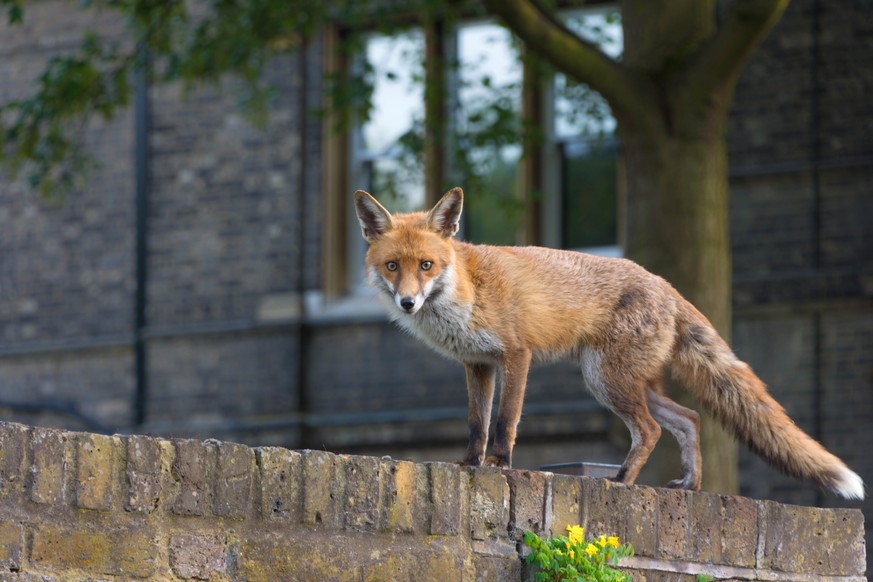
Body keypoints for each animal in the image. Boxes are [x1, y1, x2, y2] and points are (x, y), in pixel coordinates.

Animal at [350, 187, 860, 502]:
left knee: (651, 431)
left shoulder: (516, 355)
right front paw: (469, 465)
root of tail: (666, 284)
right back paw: (689, 485)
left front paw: (499, 465)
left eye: (427, 265)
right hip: (624, 381)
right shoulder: (477, 364)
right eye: (393, 266)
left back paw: (621, 481)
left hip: (605, 380)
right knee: (690, 418)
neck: (467, 289)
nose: (408, 302)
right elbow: (477, 423)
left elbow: (505, 421)